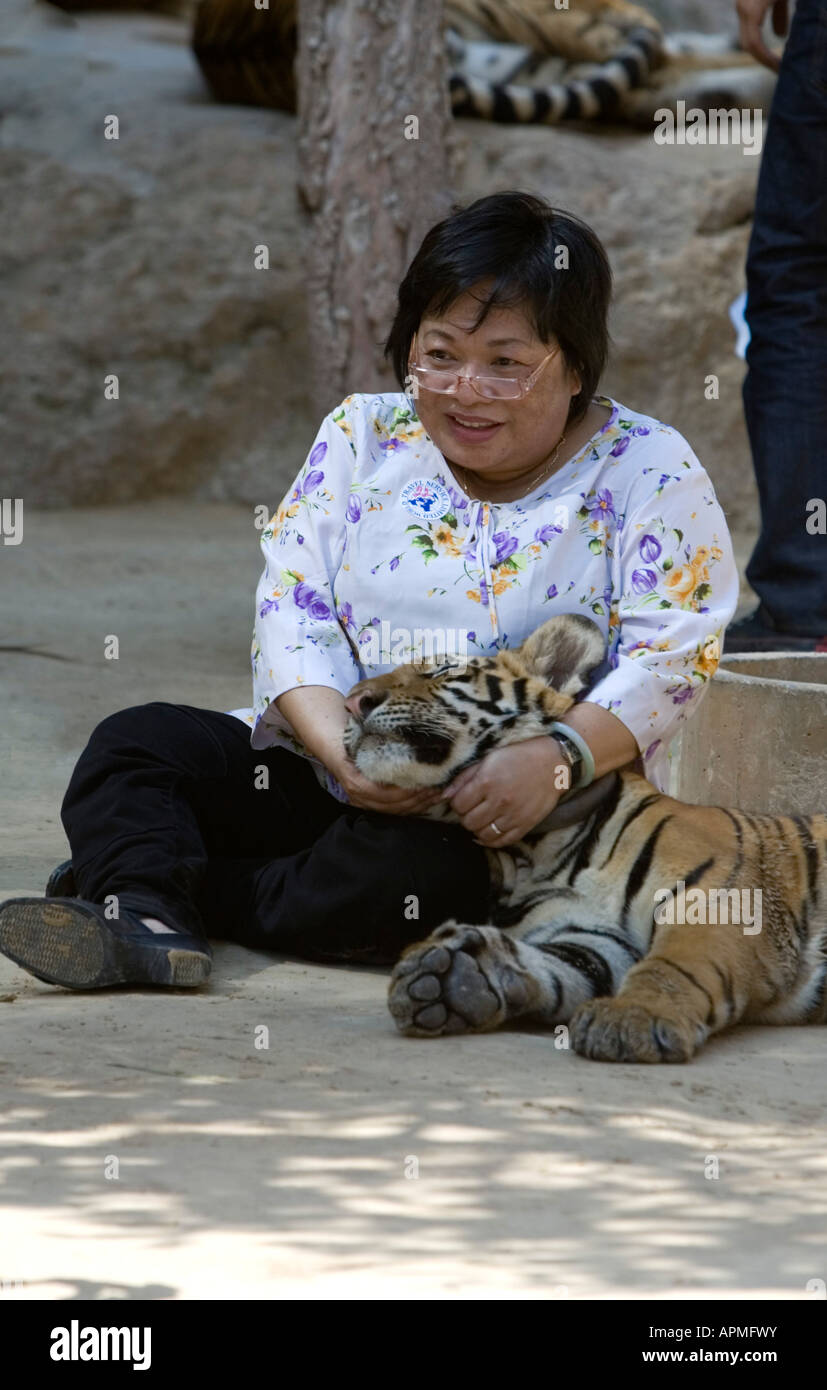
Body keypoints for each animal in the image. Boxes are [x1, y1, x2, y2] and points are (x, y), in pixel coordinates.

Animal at [343, 617, 827, 1061]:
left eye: (441, 671)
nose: (352, 702)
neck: (533, 852)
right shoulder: (592, 935)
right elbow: (559, 967)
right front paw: (456, 977)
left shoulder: (718, 897)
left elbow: (673, 964)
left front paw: (633, 1019)